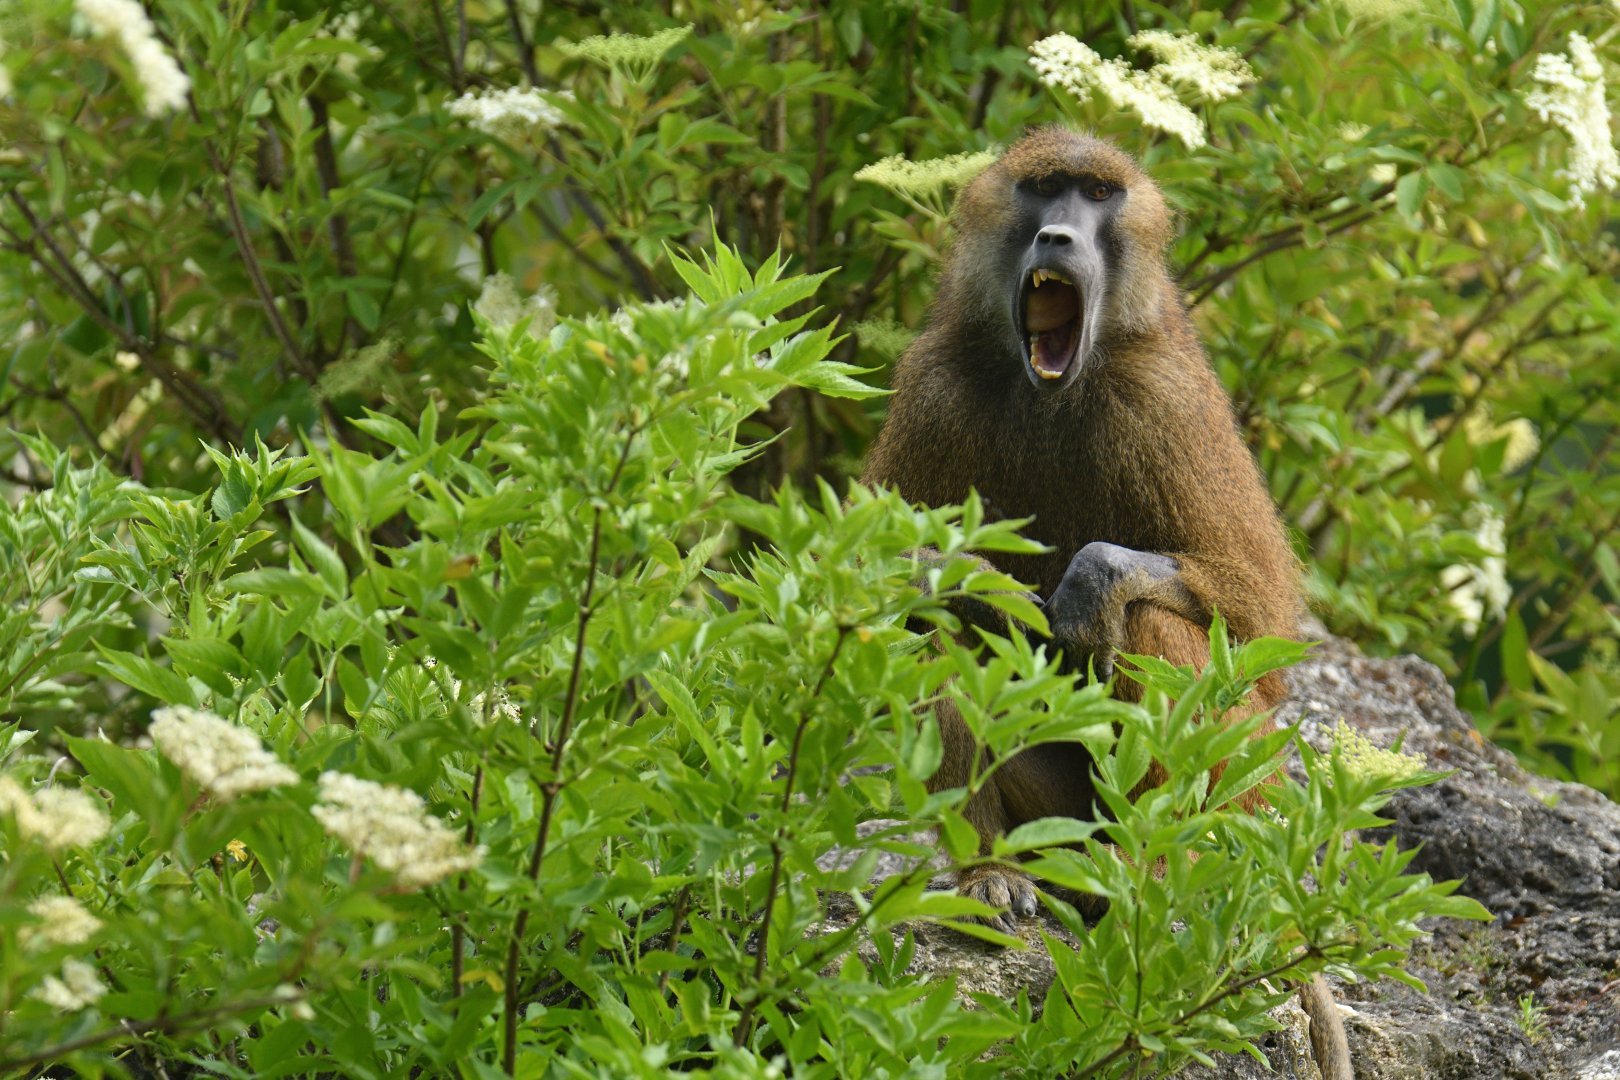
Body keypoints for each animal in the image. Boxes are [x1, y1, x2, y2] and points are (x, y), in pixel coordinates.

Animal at [860, 127, 1352, 1080]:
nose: (1057, 236)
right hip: (1063, 829)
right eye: (1044, 188)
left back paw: (1155, 878)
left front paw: (1092, 578)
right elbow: (890, 588)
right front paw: (959, 575)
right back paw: (990, 878)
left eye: (1096, 194)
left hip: (1245, 797)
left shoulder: (1166, 401)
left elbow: (1263, 621)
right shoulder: (932, 385)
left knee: (1157, 622)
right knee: (944, 633)